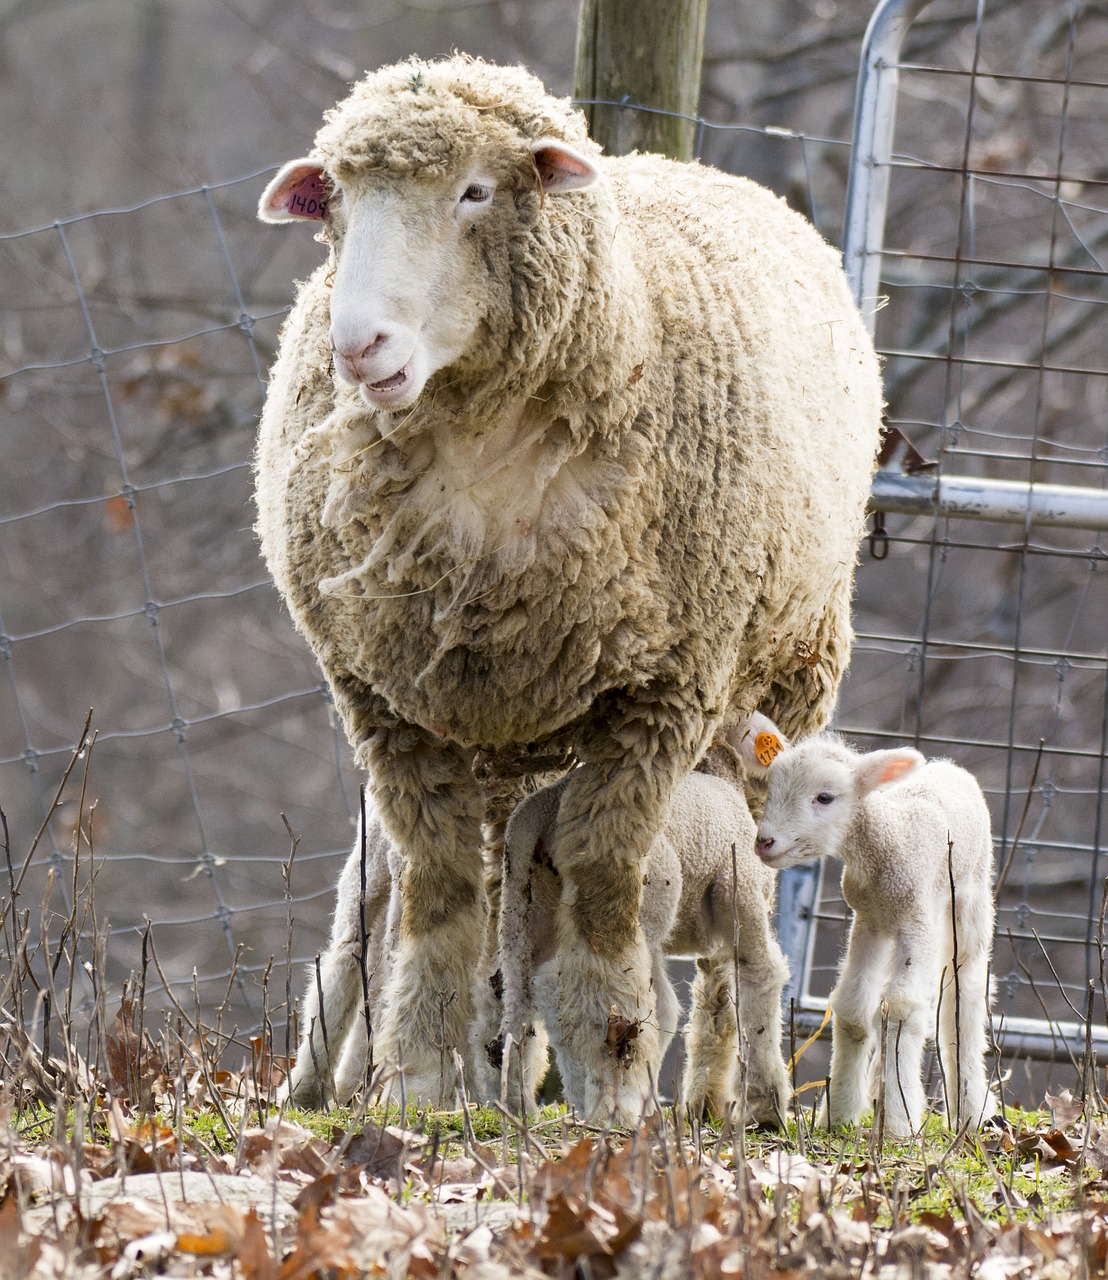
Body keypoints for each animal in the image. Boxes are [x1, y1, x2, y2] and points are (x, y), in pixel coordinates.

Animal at [496, 762, 788, 1126]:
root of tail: (548, 808)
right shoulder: (737, 887)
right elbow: (759, 977)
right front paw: (765, 1106)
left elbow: (688, 1006)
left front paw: (703, 1103)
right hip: (623, 904)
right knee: (579, 993)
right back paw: (608, 1104)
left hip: (522, 906)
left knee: (520, 1000)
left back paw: (516, 1102)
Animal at [742, 727, 992, 1136]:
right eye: (771, 788)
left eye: (825, 797)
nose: (764, 842)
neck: (888, 843)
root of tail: (949, 766)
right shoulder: (868, 920)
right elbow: (853, 1007)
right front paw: (840, 1112)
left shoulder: (917, 919)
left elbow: (901, 1007)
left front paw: (896, 1120)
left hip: (970, 894)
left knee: (964, 990)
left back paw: (972, 1111)